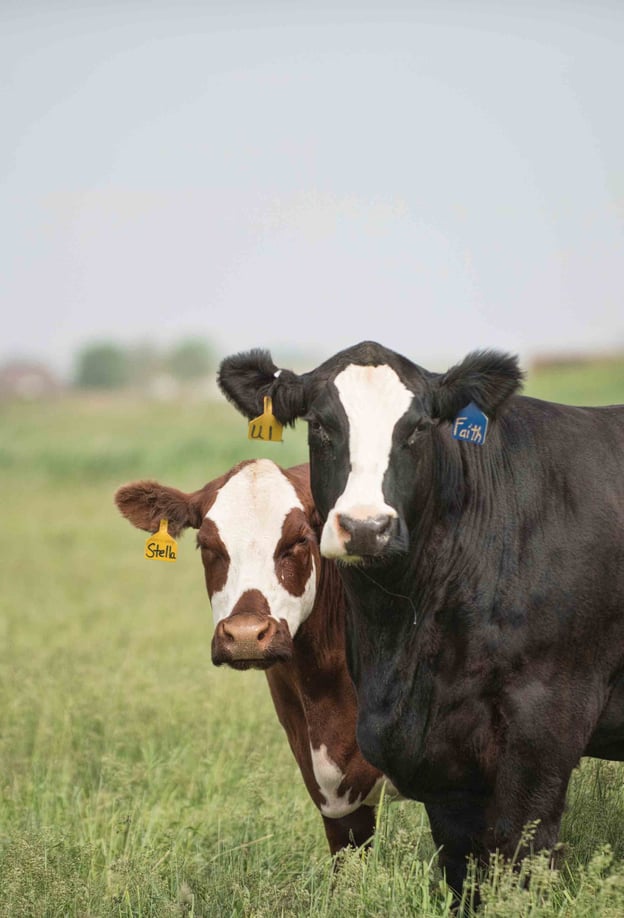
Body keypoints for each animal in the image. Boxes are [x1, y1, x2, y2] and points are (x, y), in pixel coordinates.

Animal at [217, 340, 624, 896]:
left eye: (417, 428)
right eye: (320, 425)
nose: (366, 528)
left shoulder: (548, 721)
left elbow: (518, 857)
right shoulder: (440, 763)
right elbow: (462, 870)